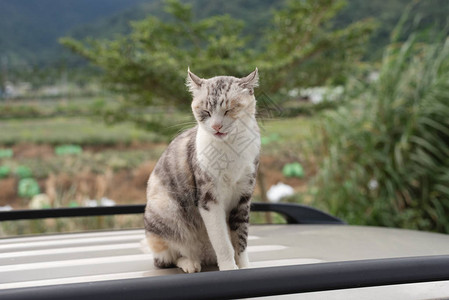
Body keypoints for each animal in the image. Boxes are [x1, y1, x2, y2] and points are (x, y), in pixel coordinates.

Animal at [144, 67, 260, 272]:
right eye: (205, 111)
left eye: (229, 109)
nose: (216, 126)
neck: (230, 149)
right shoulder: (209, 199)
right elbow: (222, 241)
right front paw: (229, 268)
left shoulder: (244, 196)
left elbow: (241, 238)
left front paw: (244, 266)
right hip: (165, 210)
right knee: (167, 258)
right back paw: (189, 262)